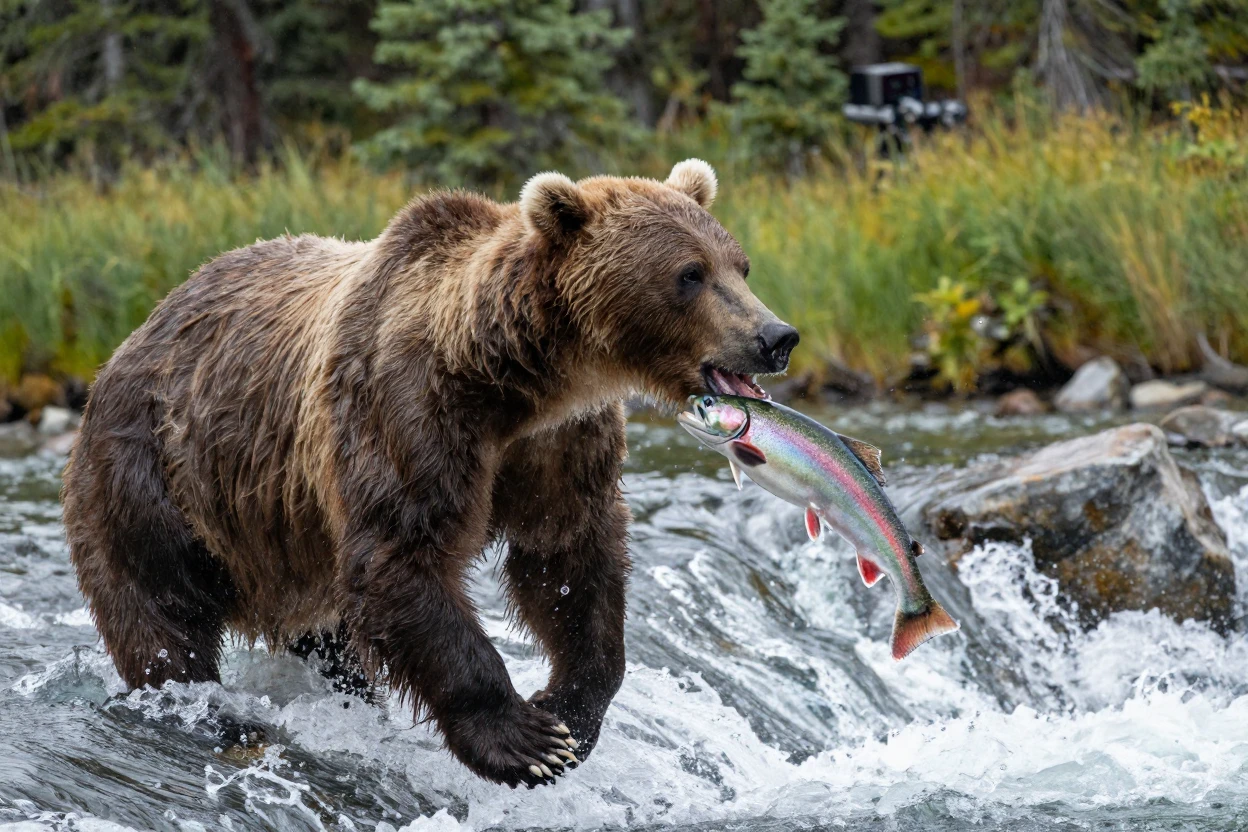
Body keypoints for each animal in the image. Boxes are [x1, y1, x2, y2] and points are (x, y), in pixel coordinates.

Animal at [61, 160, 798, 787]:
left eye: (741, 265)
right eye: (689, 273)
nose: (775, 337)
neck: (519, 383)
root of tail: (128, 340)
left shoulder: (559, 446)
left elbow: (569, 560)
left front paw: (569, 713)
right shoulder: (409, 415)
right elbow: (404, 558)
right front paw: (524, 741)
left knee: (331, 642)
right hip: (151, 476)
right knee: (161, 616)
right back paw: (210, 713)